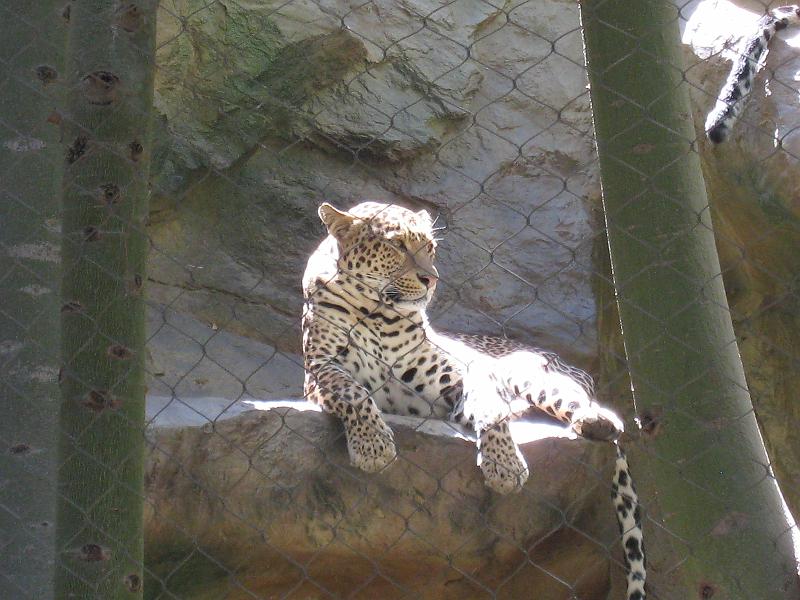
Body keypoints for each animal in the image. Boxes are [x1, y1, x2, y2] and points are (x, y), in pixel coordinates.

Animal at [302, 201, 646, 600]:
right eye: (397, 246)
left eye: (430, 248)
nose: (431, 279)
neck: (376, 312)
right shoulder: (319, 370)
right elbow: (354, 392)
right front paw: (373, 447)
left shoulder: (464, 373)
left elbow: (491, 409)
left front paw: (504, 467)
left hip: (529, 371)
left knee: (571, 402)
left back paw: (598, 420)